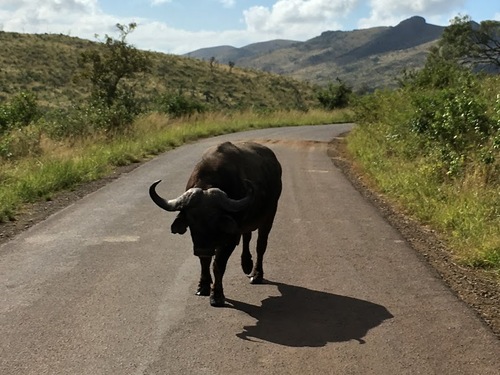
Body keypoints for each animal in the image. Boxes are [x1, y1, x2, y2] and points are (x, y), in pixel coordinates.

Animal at [148, 142, 282, 306]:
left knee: (261, 245)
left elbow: (218, 264)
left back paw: (256, 274)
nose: (203, 249)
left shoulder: (230, 238)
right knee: (247, 236)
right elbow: (204, 262)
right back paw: (246, 264)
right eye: (191, 220)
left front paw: (217, 295)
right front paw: (203, 286)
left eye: (215, 220)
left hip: (269, 215)